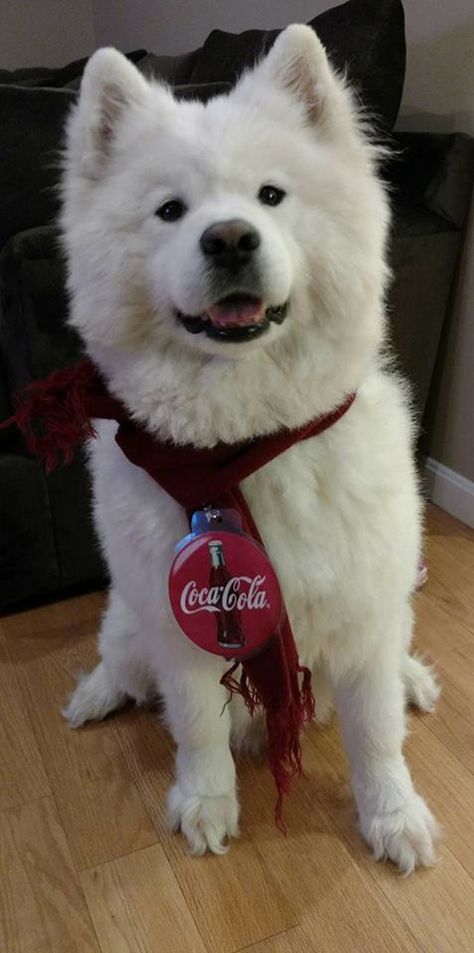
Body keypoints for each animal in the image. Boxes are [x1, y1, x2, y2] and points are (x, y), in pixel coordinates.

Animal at [63, 24, 440, 872]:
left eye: (271, 196)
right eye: (170, 211)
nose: (229, 238)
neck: (246, 443)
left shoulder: (363, 616)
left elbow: (377, 736)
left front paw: (393, 815)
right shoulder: (181, 627)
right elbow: (198, 726)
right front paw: (206, 804)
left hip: (393, 601)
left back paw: (415, 675)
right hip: (132, 620)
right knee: (119, 658)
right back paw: (95, 694)